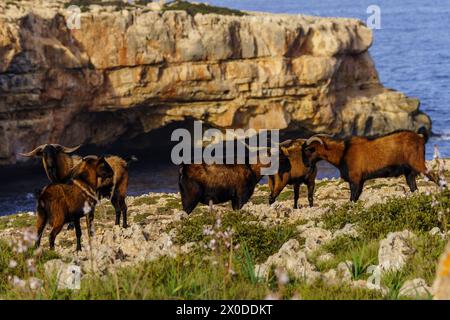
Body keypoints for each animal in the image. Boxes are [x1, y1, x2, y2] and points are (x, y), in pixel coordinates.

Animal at [302, 129, 440, 201]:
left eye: (308, 150)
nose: (305, 164)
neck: (343, 152)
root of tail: (421, 138)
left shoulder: (355, 179)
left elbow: (352, 198)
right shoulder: (360, 180)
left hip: (418, 163)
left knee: (434, 176)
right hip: (409, 172)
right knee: (414, 187)